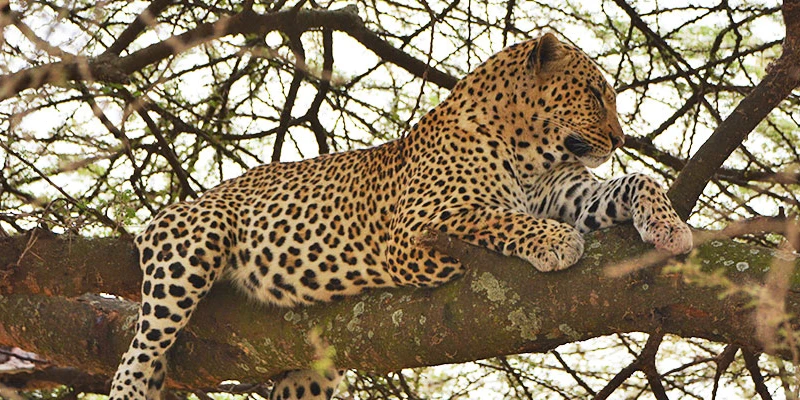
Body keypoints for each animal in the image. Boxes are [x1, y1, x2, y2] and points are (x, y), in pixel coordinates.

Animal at [109, 32, 693, 400]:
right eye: (595, 94)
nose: (619, 139)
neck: (533, 154)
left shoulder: (574, 195)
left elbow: (639, 180)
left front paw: (670, 228)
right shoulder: (417, 228)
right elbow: (494, 218)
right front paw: (553, 241)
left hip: (307, 376)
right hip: (191, 245)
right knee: (143, 344)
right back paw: (134, 382)